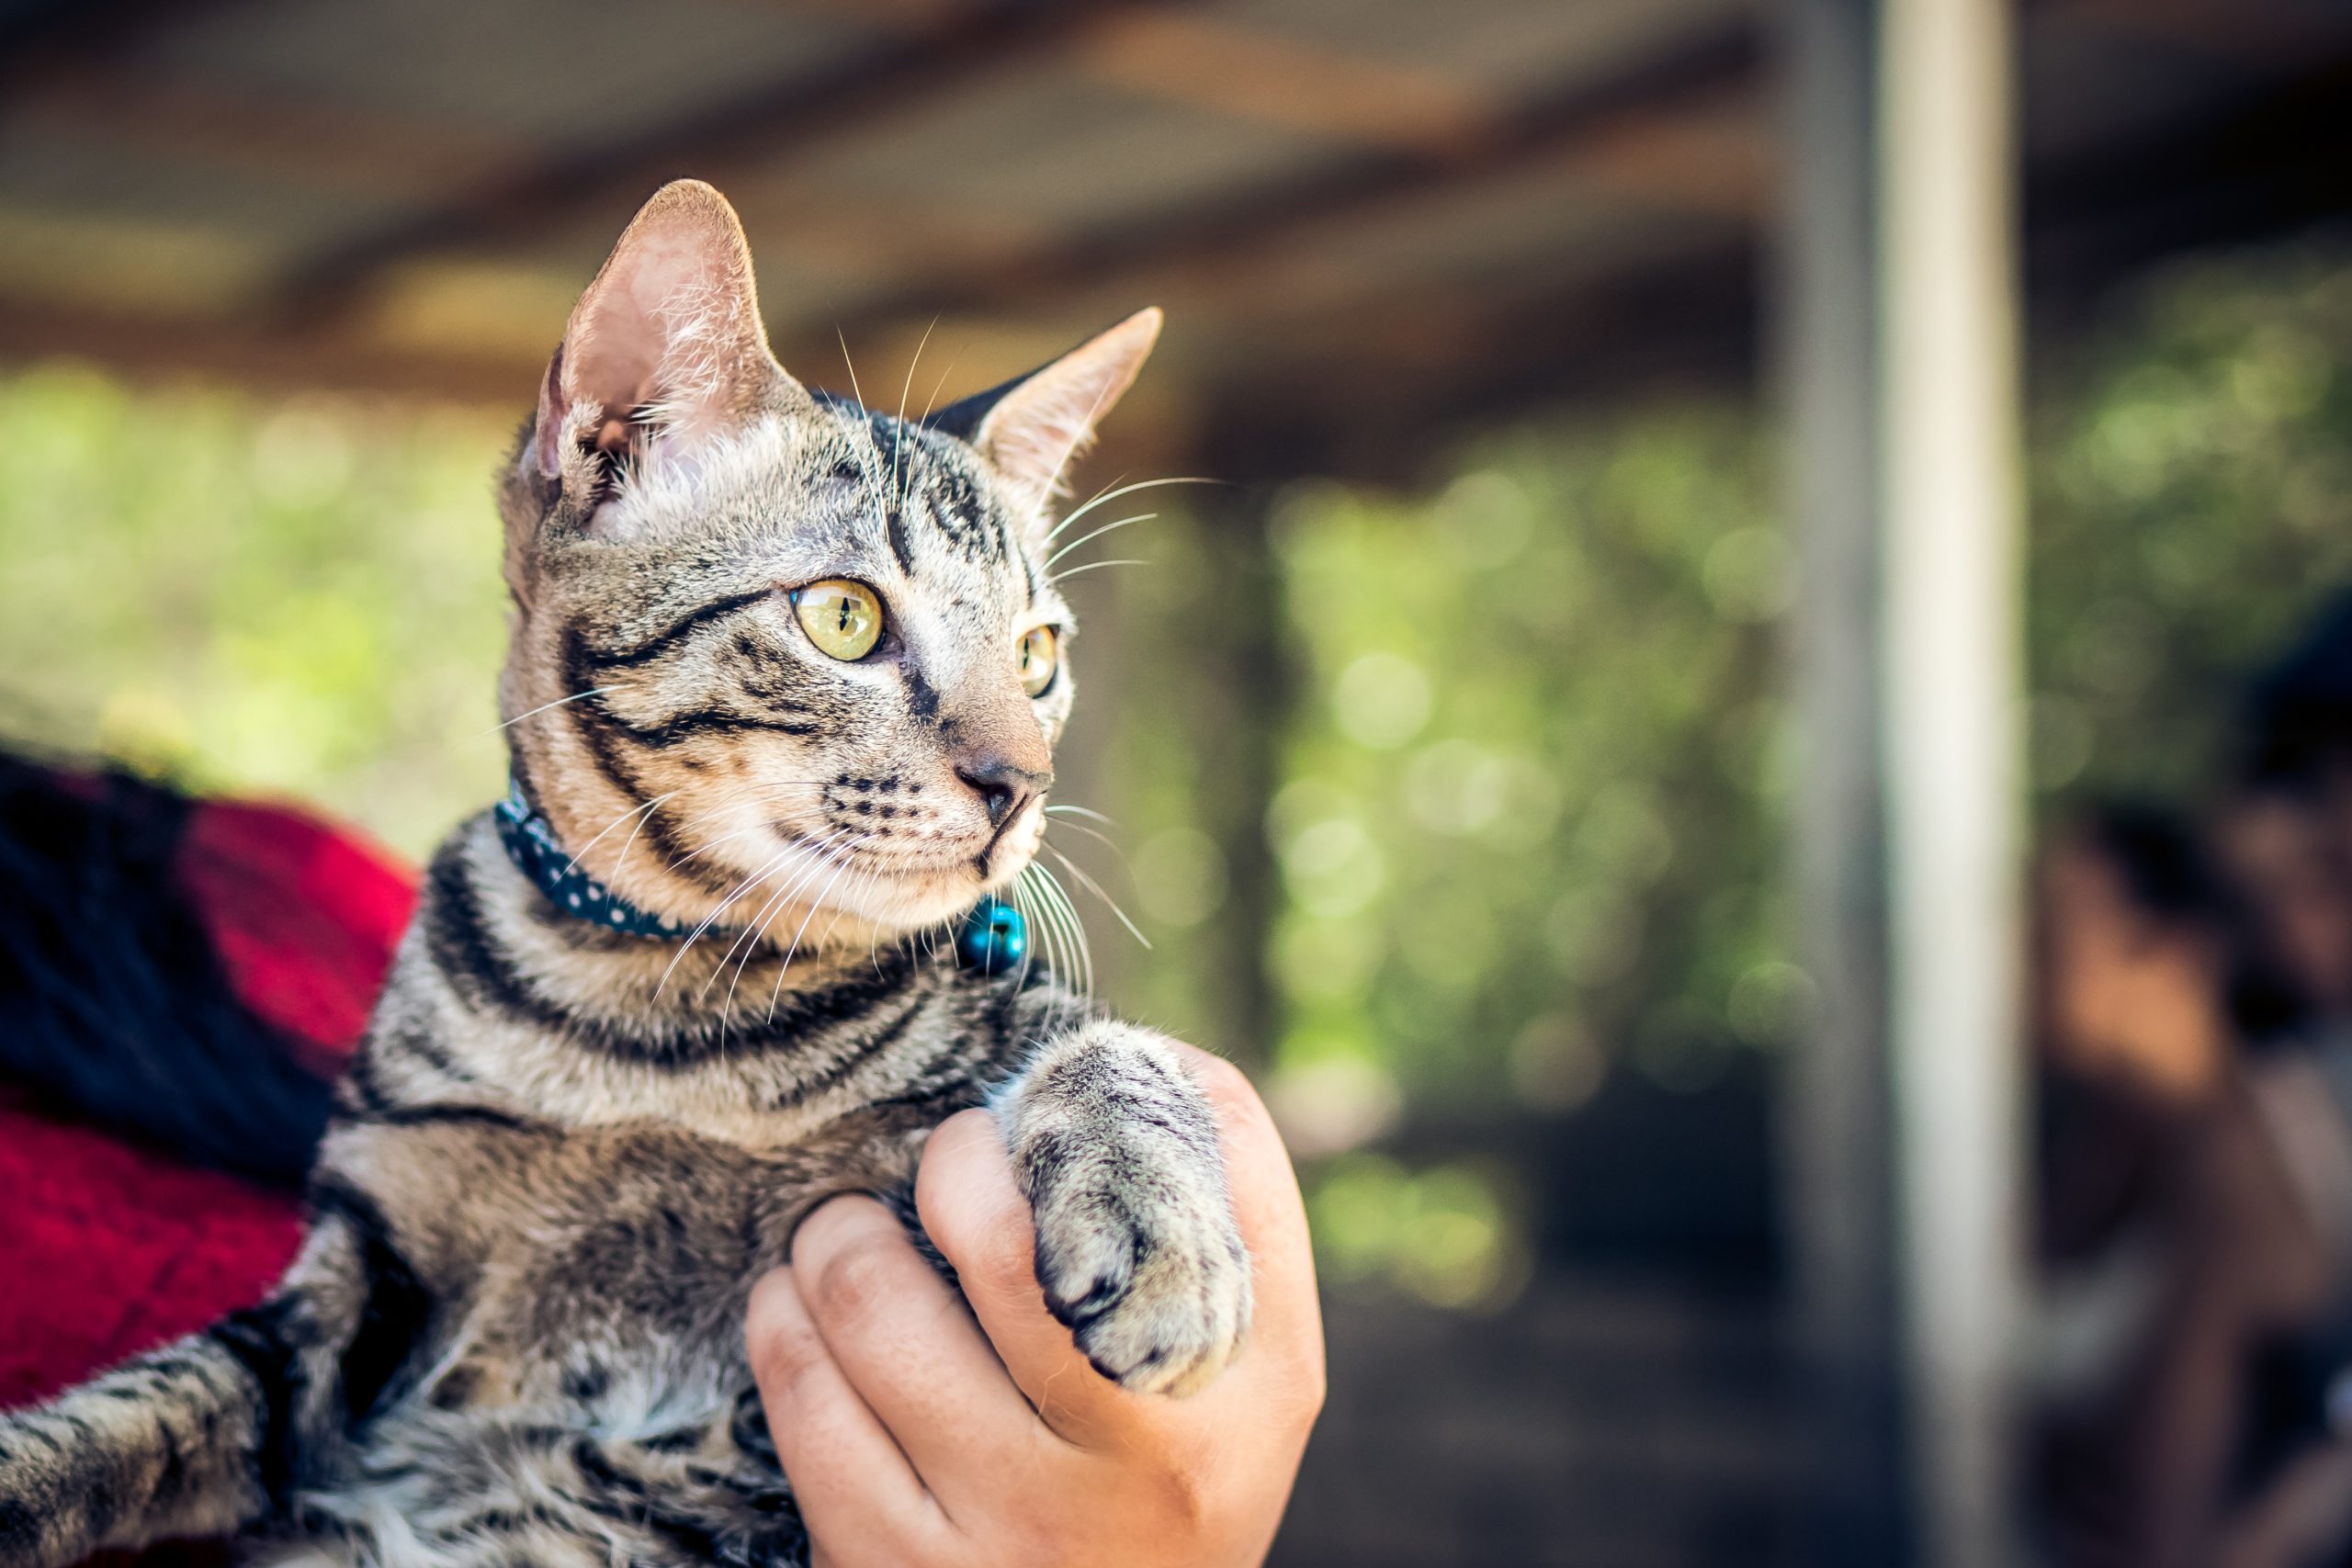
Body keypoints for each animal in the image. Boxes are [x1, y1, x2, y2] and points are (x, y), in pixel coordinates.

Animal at [0, 184, 1250, 1568]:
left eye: (1035, 656)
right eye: (846, 618)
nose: (1019, 782)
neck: (651, 1018)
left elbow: (1114, 1044)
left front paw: (1160, 1227)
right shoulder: (353, 1280)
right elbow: (123, 1416)